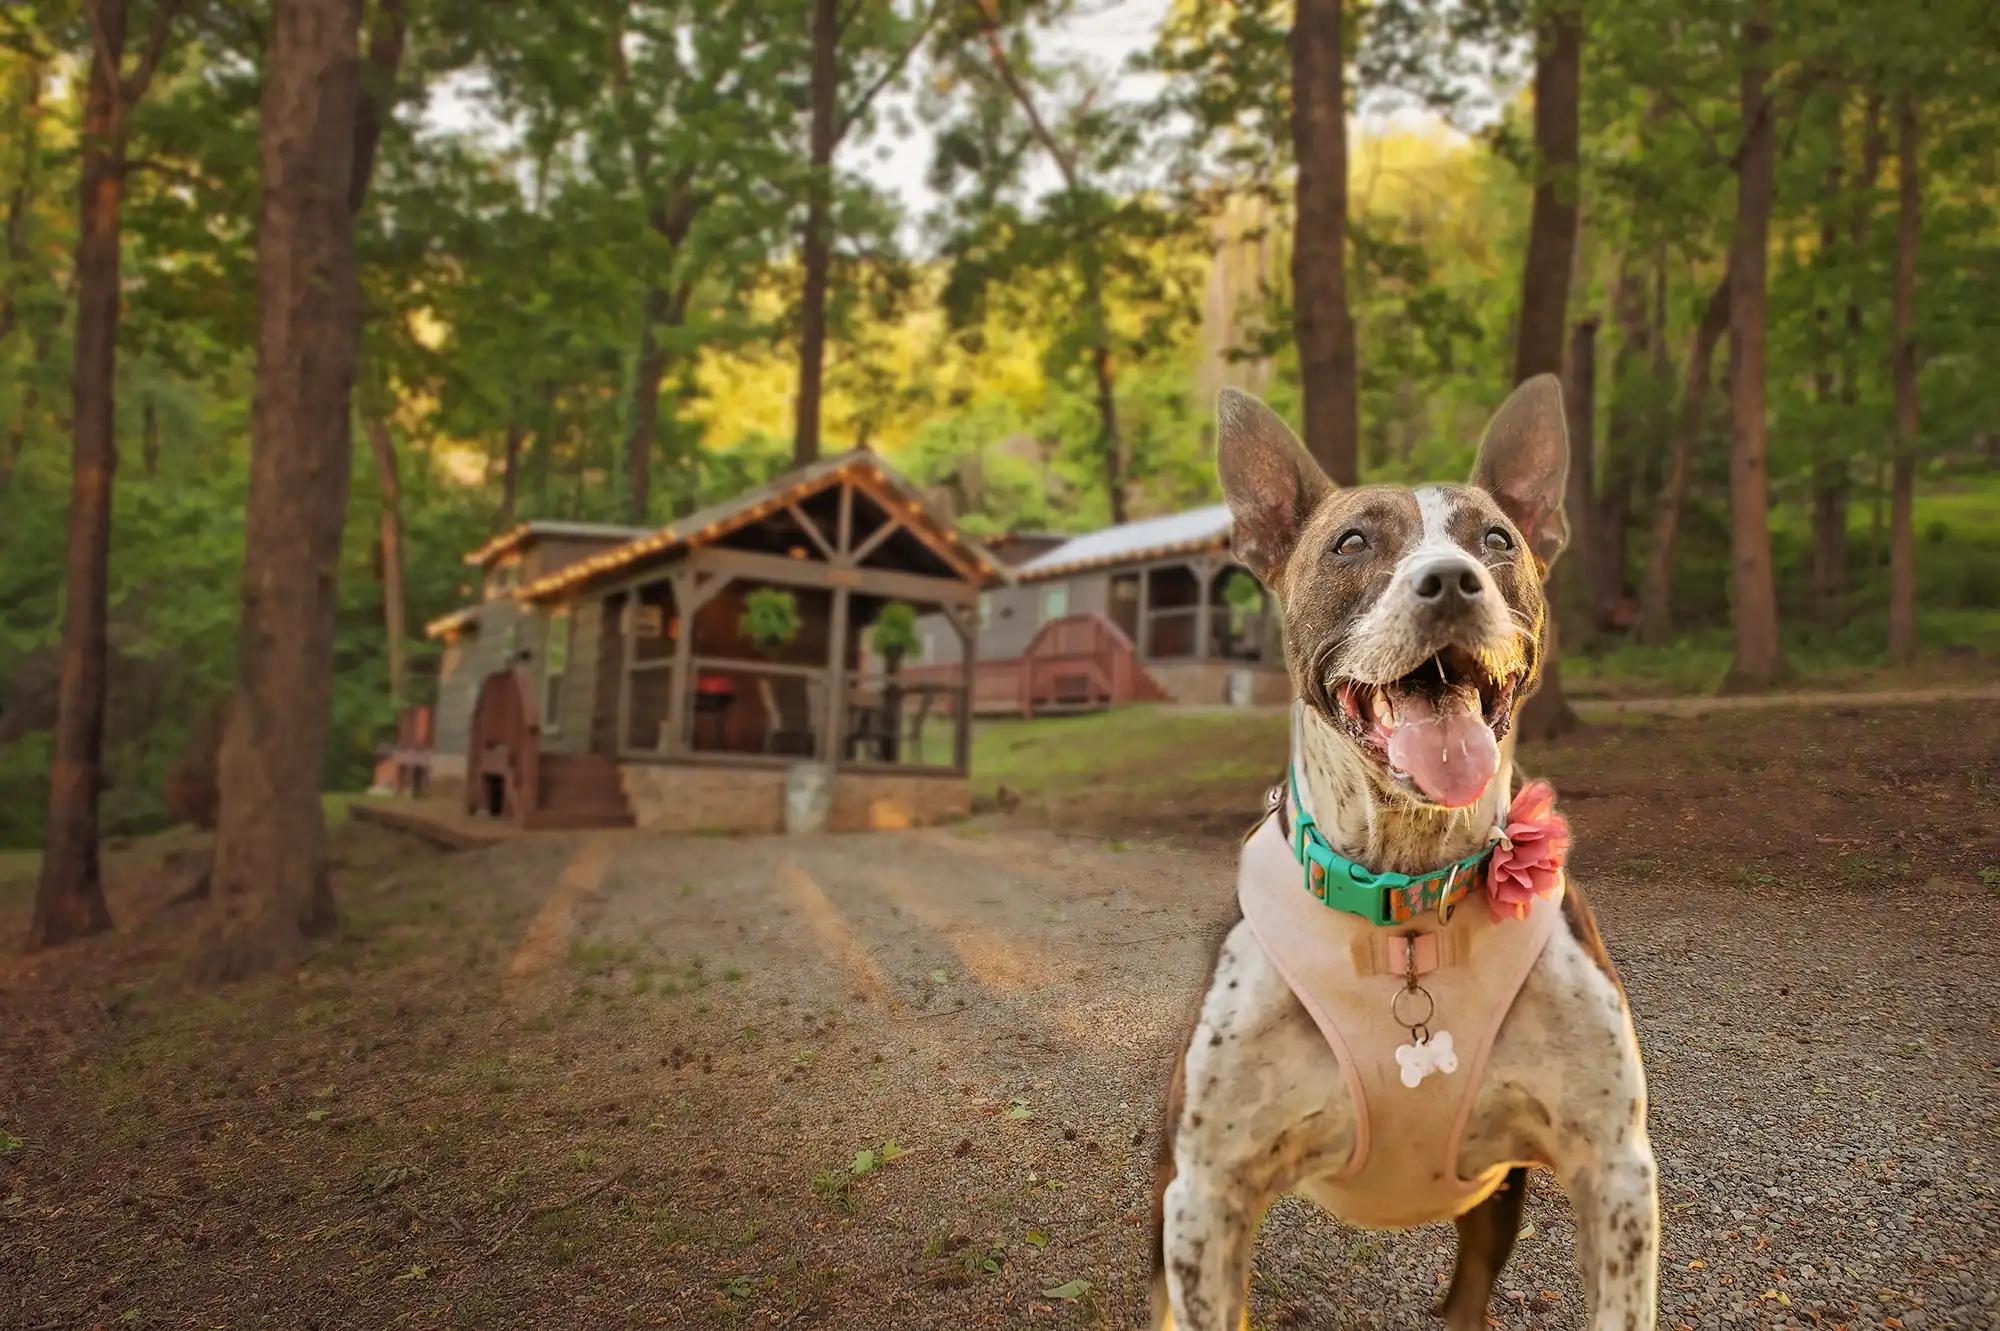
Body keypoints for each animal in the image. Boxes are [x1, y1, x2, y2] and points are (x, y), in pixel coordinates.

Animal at [1160, 375, 1656, 1327]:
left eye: (1496, 539)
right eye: (1353, 541)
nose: (1451, 581)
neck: (1409, 897)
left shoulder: (1615, 1171)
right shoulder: (1204, 1196)